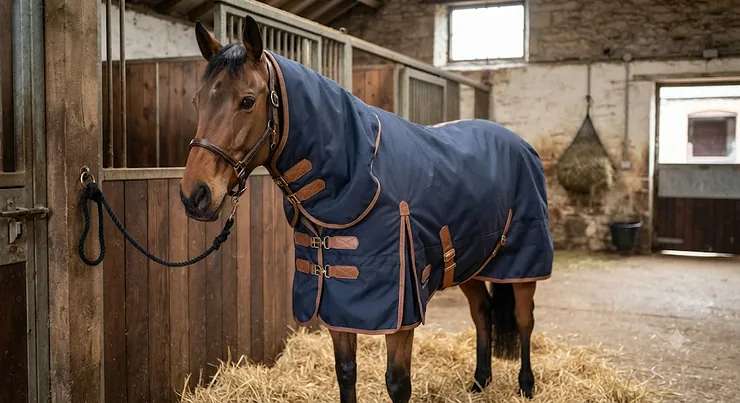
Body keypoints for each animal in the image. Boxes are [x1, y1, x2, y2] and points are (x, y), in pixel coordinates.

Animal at [179, 16, 554, 403]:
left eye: (247, 101)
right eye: (197, 100)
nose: (196, 194)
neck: (356, 179)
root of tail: (519, 143)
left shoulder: (401, 310)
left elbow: (398, 383)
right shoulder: (337, 303)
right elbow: (346, 372)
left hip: (523, 264)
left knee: (524, 319)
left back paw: (526, 384)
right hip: (472, 263)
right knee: (482, 313)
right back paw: (480, 381)